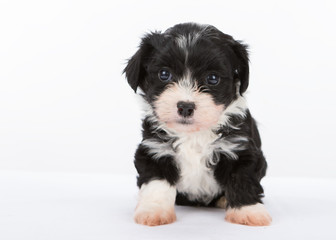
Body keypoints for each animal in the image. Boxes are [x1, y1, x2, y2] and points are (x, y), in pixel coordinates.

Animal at [124, 22, 272, 227]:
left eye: (212, 78)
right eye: (164, 74)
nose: (185, 107)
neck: (193, 134)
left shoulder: (240, 149)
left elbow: (242, 178)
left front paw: (249, 211)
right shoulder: (154, 150)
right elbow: (157, 183)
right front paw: (153, 210)